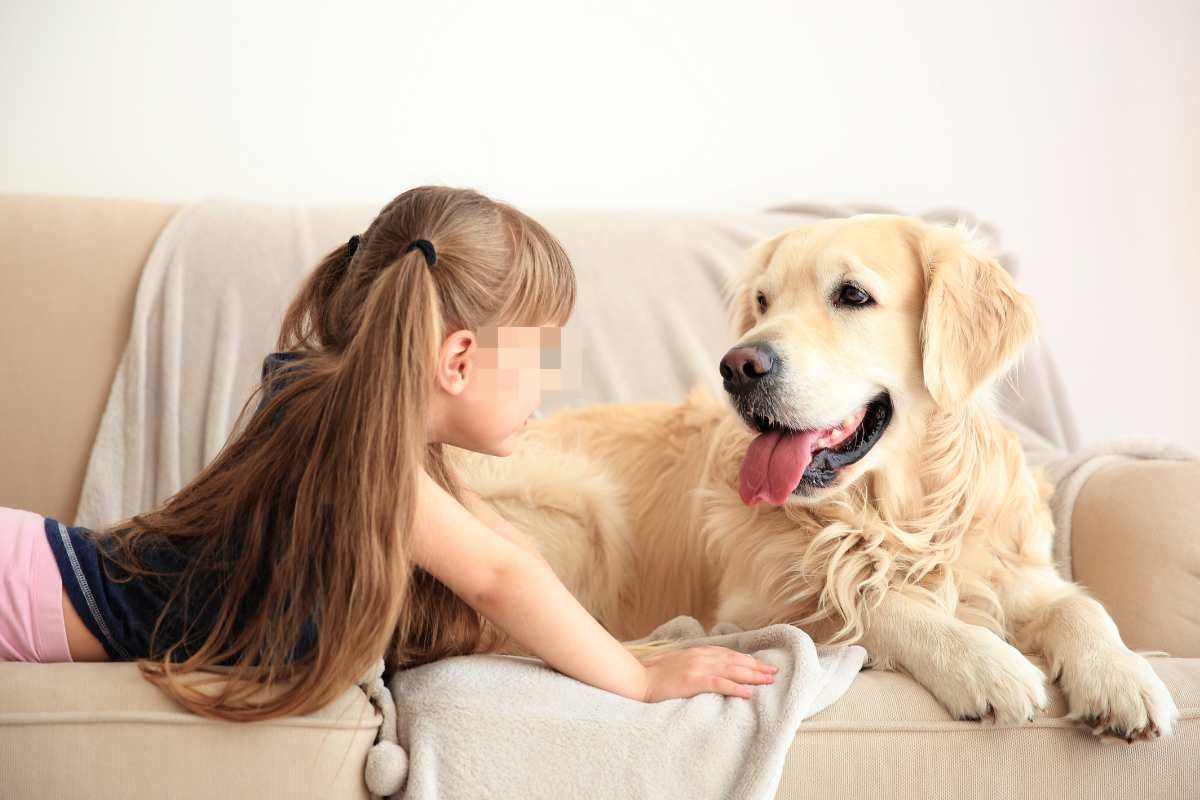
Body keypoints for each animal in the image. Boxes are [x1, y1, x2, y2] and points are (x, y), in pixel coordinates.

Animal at [453, 212, 1176, 738]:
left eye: (852, 295)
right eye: (763, 300)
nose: (738, 366)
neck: (895, 515)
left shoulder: (1017, 574)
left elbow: (1081, 607)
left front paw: (1125, 679)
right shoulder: (757, 603)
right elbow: (874, 603)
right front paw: (985, 664)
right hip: (579, 506)